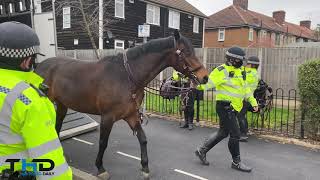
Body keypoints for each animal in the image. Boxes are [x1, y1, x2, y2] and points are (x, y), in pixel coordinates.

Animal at [35, 30, 209, 178]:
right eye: (185, 52)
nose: (205, 77)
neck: (126, 77)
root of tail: (40, 66)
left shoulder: (131, 115)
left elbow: (143, 139)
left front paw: (145, 167)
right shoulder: (107, 117)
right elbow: (103, 143)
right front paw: (100, 168)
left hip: (62, 105)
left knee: (57, 126)